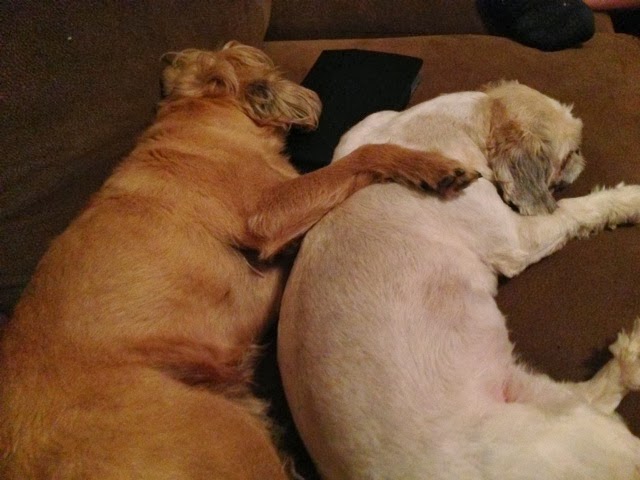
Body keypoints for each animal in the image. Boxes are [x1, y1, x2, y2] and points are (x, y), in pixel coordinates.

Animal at [278, 81, 640, 479]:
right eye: (571, 152)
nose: (580, 161)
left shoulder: (361, 136)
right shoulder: (518, 239)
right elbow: (578, 210)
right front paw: (629, 200)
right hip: (572, 432)